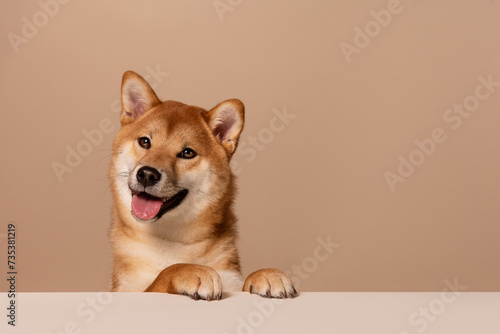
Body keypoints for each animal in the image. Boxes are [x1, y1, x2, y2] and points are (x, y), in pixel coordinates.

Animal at [108, 70, 296, 300]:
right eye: (144, 141)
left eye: (187, 153)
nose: (147, 174)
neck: (172, 241)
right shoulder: (127, 291)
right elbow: (165, 274)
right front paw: (190, 270)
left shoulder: (231, 279)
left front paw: (267, 274)